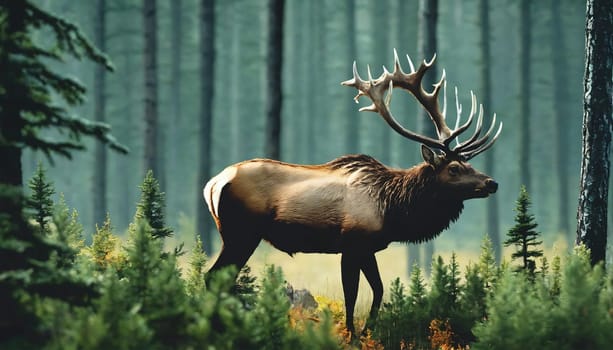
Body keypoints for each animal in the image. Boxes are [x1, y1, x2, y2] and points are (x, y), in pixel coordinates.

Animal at [203, 50, 500, 334]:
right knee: (213, 276)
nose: (491, 183)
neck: (393, 209)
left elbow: (378, 289)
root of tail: (212, 184)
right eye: (454, 168)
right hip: (241, 233)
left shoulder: (368, 248)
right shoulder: (353, 242)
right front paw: (353, 335)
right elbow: (352, 295)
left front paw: (367, 329)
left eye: (469, 164)